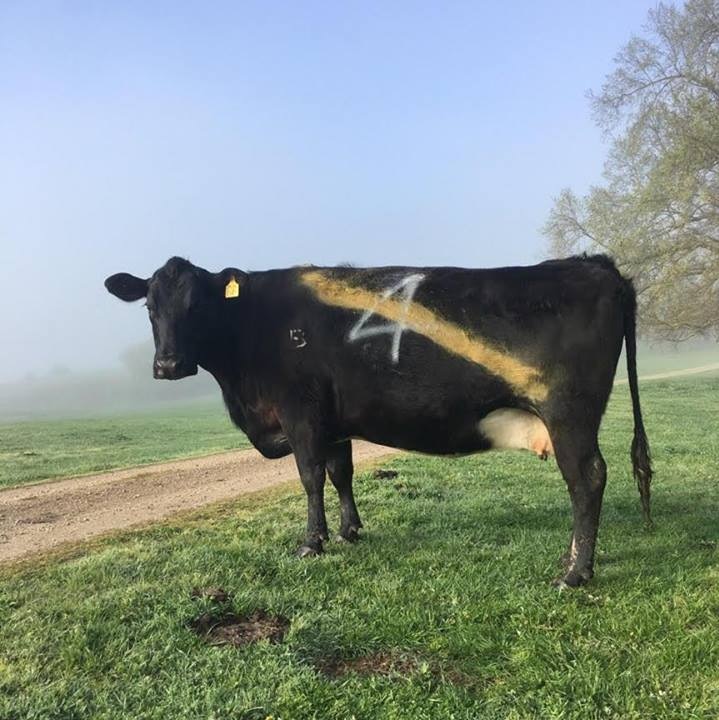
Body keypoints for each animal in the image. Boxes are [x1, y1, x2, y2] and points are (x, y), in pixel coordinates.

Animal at [107, 253, 652, 584]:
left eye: (197, 303)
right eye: (150, 306)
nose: (167, 365)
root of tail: (594, 264)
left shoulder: (301, 413)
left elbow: (310, 477)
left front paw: (312, 543)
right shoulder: (334, 422)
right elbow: (340, 473)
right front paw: (350, 530)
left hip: (569, 414)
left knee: (587, 478)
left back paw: (575, 572)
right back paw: (571, 558)